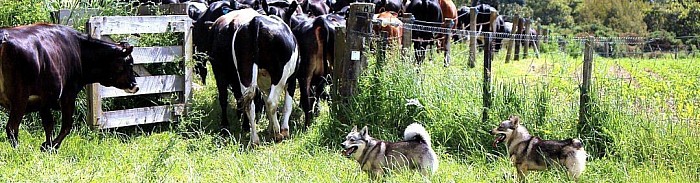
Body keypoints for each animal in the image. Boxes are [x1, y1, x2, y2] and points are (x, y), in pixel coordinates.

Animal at [0, 23, 138, 151]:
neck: (79, 48)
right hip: (20, 97)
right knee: (12, 127)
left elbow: (49, 125)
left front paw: (47, 145)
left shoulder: (44, 100)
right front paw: (51, 146)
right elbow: (67, 125)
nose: (135, 86)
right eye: (130, 63)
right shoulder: (68, 94)